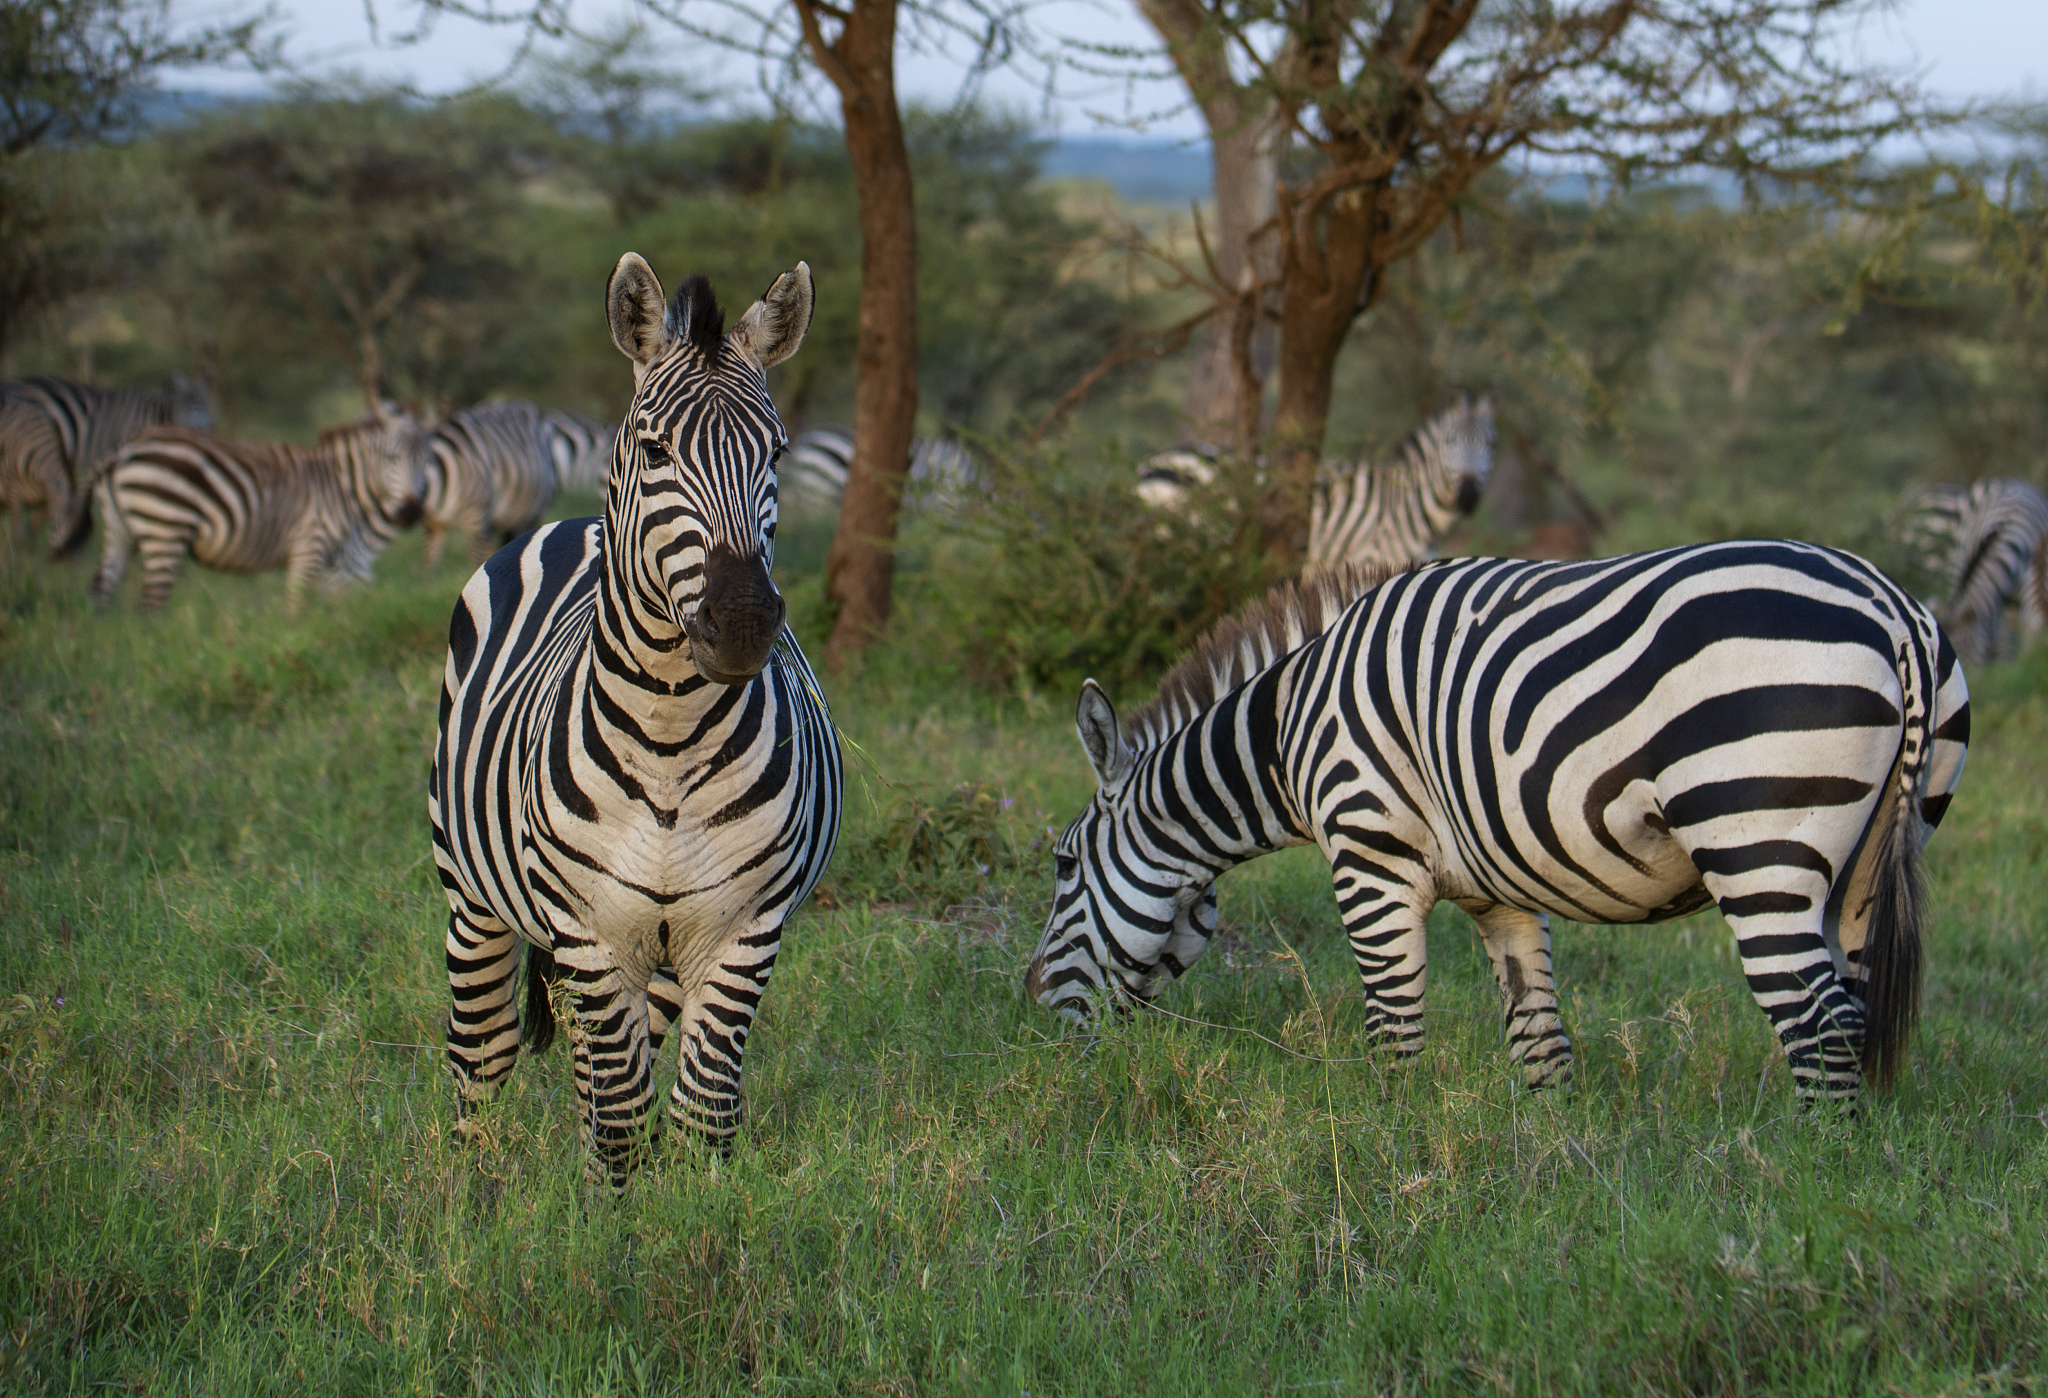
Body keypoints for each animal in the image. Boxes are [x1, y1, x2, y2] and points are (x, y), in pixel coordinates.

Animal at [88, 410, 424, 611]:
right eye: (392, 458)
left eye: (426, 460)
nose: (411, 512)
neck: (340, 485)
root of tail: (125, 448)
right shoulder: (310, 546)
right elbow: (298, 607)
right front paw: (299, 644)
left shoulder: (336, 566)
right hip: (165, 527)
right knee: (151, 605)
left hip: (119, 529)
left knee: (104, 591)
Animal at [1025, 541, 1970, 1110]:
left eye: (1064, 866)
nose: (1029, 1003)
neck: (1291, 732)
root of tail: (1895, 613)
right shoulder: (1502, 892)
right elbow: (1538, 1042)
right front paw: (1542, 1185)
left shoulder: (1370, 858)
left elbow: (1394, 1033)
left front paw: (1384, 1170)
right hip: (1871, 863)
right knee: (1854, 1007)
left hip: (1757, 842)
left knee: (1819, 1024)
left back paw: (1806, 1185)